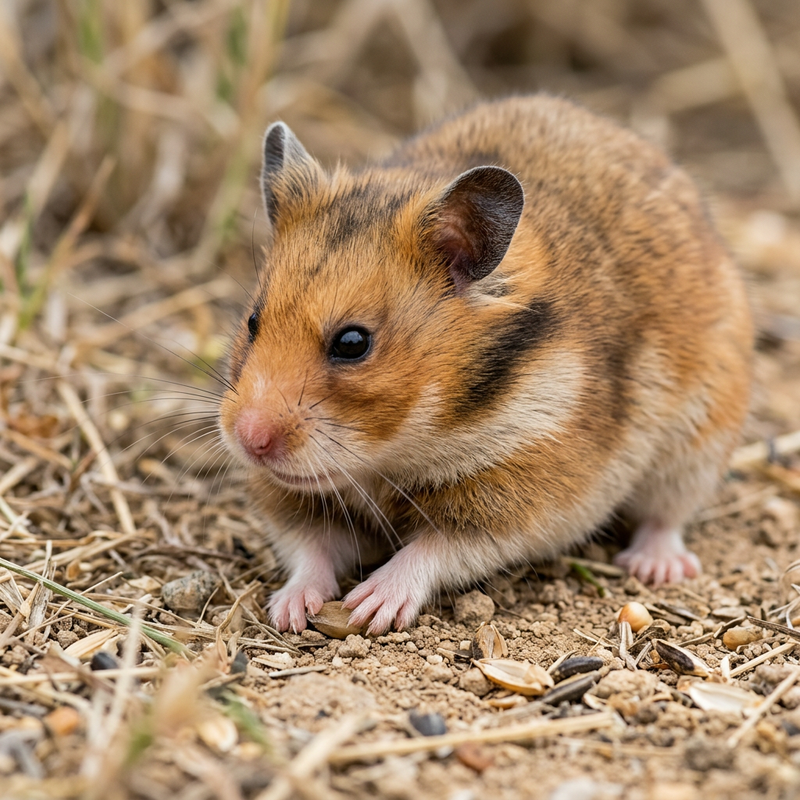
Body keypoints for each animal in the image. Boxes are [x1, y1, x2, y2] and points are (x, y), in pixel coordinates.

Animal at [218, 94, 753, 635]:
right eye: (252, 321)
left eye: (353, 343)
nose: (249, 441)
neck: (398, 453)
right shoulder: (288, 499)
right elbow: (310, 547)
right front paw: (288, 611)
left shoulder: (526, 498)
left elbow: (436, 548)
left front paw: (369, 607)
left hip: (698, 442)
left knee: (667, 516)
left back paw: (654, 566)